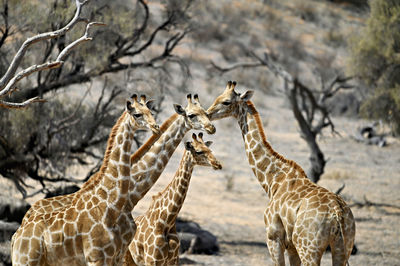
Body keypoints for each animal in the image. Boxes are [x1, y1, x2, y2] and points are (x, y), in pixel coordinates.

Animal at [125, 133, 222, 266]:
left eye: (209, 149)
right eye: (199, 151)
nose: (218, 164)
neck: (166, 221)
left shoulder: (174, 260)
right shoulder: (152, 260)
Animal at [206, 81, 356, 266]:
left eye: (226, 102)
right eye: (217, 97)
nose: (207, 114)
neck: (273, 180)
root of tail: (337, 214)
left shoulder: (273, 238)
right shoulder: (291, 247)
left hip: (309, 249)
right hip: (342, 248)